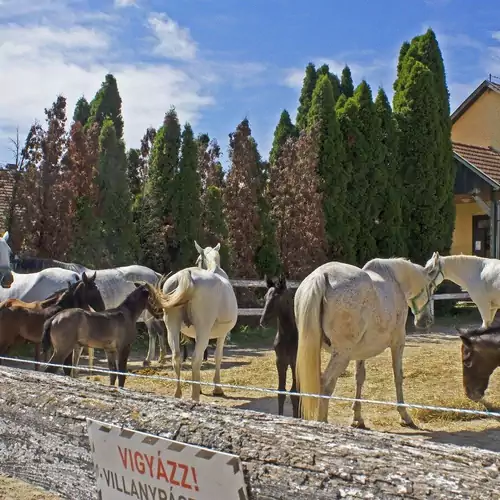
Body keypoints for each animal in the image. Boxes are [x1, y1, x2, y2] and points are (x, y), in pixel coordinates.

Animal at [160, 242, 238, 402]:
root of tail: (186, 276)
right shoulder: (221, 335)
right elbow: (217, 357)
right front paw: (217, 389)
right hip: (203, 330)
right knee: (195, 359)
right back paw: (195, 397)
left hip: (172, 328)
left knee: (176, 357)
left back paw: (178, 394)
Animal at [260, 276, 298, 416]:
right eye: (265, 297)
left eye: (278, 298)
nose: (263, 321)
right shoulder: (280, 361)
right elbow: (281, 392)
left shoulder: (294, 362)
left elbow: (295, 393)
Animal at [294, 260, 436, 428]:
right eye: (431, 286)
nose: (425, 321)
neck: (395, 280)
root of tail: (322, 275)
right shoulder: (398, 342)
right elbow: (398, 376)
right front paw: (404, 415)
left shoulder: (359, 352)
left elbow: (359, 378)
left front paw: (357, 418)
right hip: (342, 355)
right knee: (325, 383)